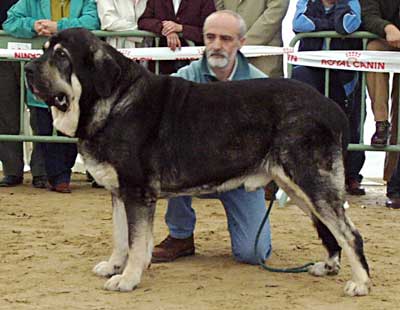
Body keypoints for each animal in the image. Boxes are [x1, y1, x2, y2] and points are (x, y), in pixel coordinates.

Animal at [24, 28, 368, 296]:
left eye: (61, 56)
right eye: (43, 51)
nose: (28, 69)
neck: (112, 101)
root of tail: (332, 107)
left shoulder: (137, 192)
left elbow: (136, 241)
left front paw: (128, 278)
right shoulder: (119, 192)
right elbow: (122, 237)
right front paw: (114, 266)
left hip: (311, 181)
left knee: (350, 233)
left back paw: (361, 283)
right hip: (297, 187)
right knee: (330, 229)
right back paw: (329, 266)